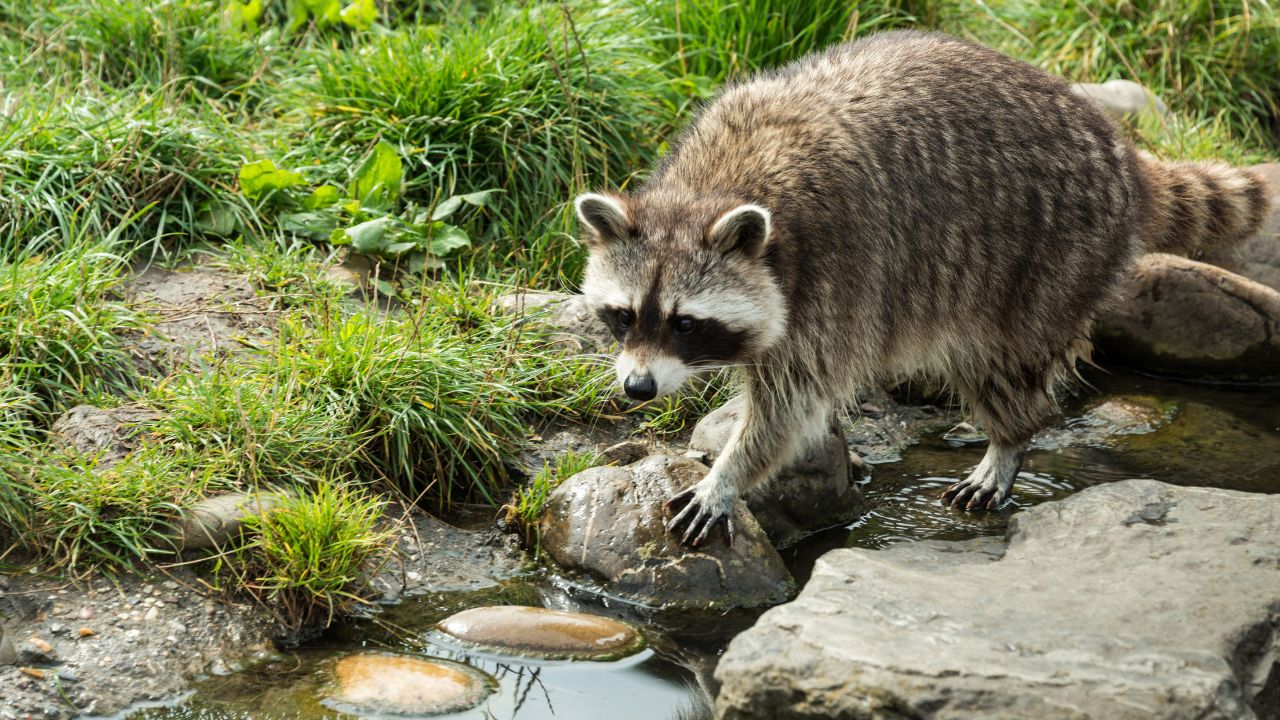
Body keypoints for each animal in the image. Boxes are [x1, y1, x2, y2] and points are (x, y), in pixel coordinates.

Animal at [573, 30, 1271, 546]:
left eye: (685, 323)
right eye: (624, 316)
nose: (637, 389)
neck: (713, 187)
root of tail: (1120, 151)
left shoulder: (832, 276)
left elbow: (789, 404)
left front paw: (730, 475)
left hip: (1048, 253)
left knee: (1000, 360)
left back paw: (1010, 439)